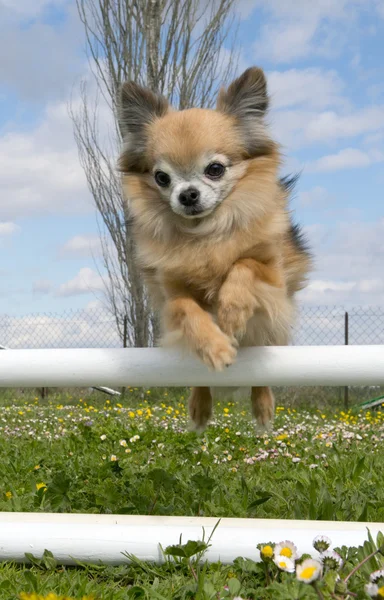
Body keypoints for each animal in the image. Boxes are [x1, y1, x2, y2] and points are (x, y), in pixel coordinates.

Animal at [118, 67, 312, 432]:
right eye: (162, 177)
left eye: (215, 169)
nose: (187, 194)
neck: (204, 234)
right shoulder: (170, 295)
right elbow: (188, 310)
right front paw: (216, 346)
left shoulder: (273, 277)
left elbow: (244, 264)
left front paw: (231, 310)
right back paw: (200, 406)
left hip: (272, 328)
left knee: (262, 367)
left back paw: (263, 408)